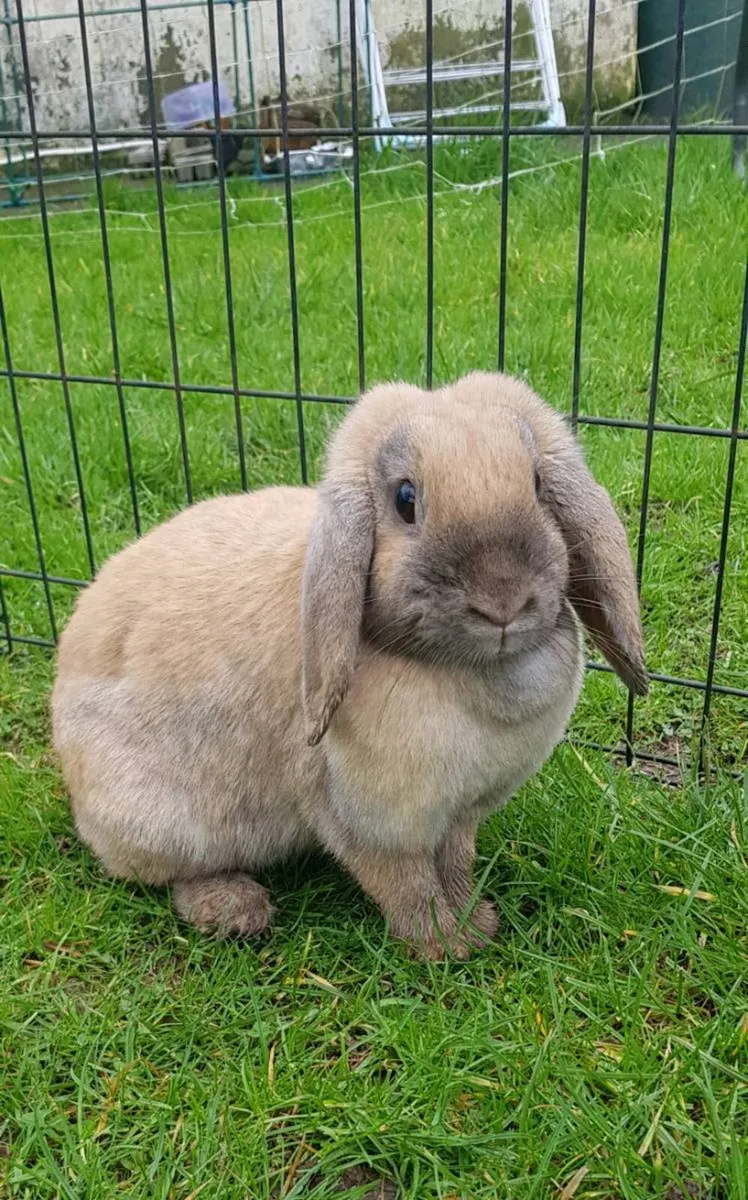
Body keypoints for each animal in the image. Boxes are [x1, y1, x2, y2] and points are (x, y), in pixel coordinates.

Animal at [52, 372, 647, 959]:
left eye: (539, 484)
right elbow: (404, 882)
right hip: (165, 829)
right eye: (405, 499)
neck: (465, 669)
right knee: (170, 875)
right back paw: (234, 909)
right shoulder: (367, 818)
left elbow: (455, 863)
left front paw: (477, 922)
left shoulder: (460, 813)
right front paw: (443, 944)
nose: (502, 602)